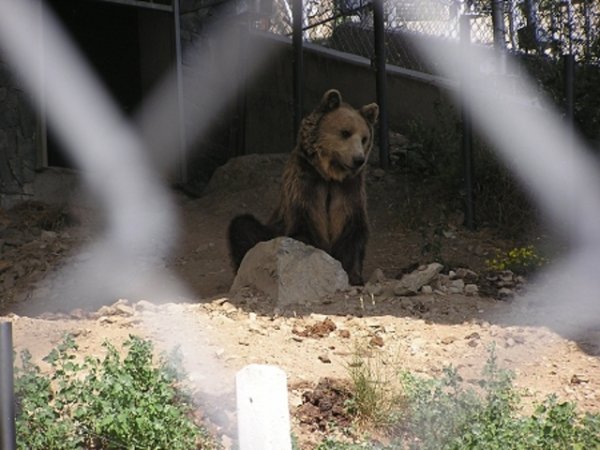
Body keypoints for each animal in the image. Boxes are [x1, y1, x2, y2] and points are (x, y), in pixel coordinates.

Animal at [227, 89, 378, 284]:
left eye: (364, 138)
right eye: (345, 132)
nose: (358, 159)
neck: (329, 174)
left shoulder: (348, 189)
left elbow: (353, 229)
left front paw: (354, 276)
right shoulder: (306, 183)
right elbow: (305, 224)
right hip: (270, 231)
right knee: (243, 226)